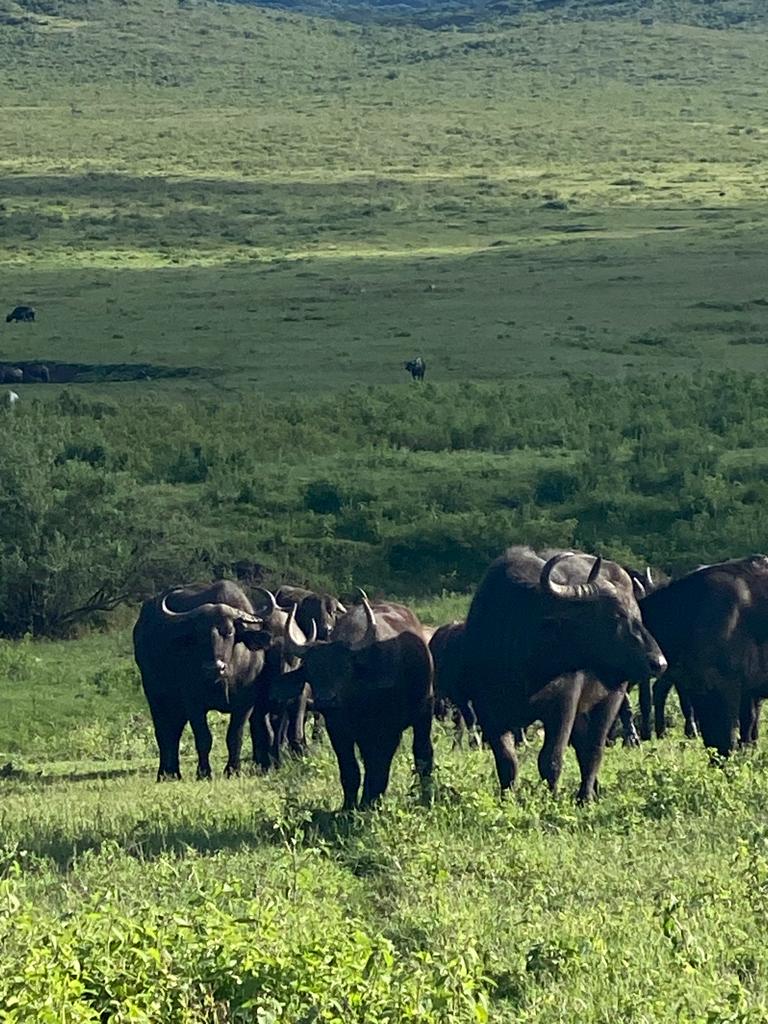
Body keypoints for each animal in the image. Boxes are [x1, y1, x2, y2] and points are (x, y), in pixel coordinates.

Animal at [134, 581, 311, 778]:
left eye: (229, 632)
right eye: (199, 634)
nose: (215, 667)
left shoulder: (246, 703)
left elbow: (235, 735)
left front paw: (233, 770)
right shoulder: (193, 702)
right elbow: (203, 737)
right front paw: (204, 772)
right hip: (155, 694)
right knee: (164, 731)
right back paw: (166, 773)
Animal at [274, 593, 434, 806]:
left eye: (345, 670)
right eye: (311, 671)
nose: (326, 700)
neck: (357, 703)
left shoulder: (387, 731)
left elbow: (379, 767)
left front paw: (370, 802)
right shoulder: (338, 731)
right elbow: (350, 770)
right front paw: (349, 806)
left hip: (424, 713)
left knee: (422, 753)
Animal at [462, 552, 667, 798]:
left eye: (638, 615)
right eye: (616, 615)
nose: (658, 663)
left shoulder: (563, 706)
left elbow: (551, 759)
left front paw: (552, 797)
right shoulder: (488, 711)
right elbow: (506, 762)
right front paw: (507, 798)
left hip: (612, 696)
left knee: (594, 748)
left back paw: (585, 796)